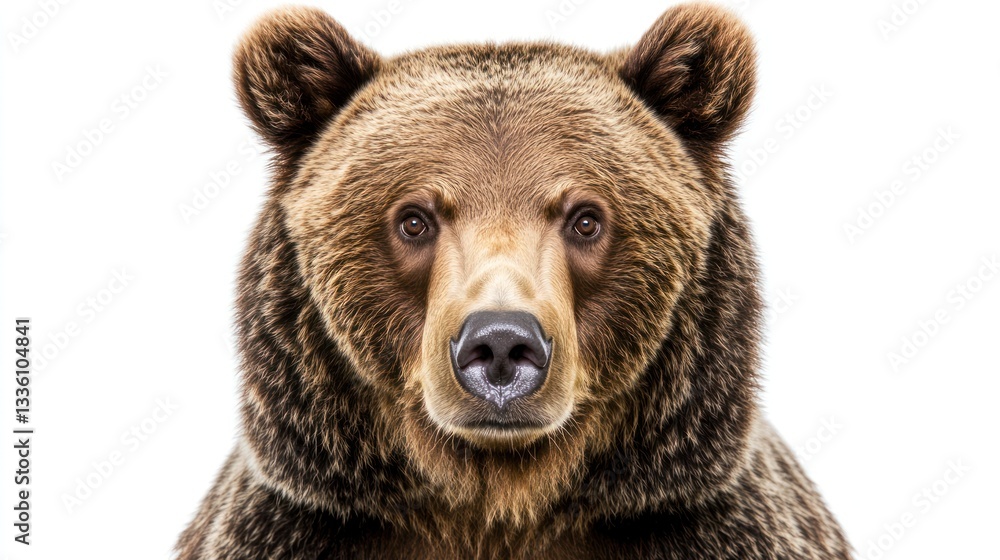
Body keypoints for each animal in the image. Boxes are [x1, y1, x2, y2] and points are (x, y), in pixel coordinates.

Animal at [176, 4, 851, 559]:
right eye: (414, 219)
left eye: (585, 218)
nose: (500, 344)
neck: (500, 502)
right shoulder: (294, 529)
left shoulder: (711, 527)